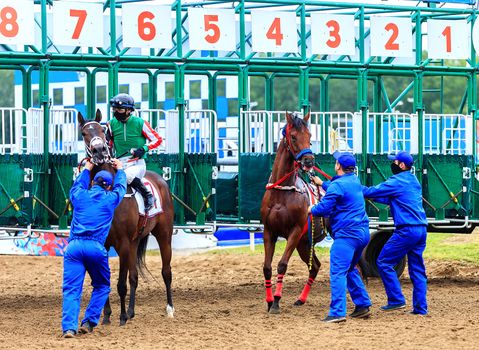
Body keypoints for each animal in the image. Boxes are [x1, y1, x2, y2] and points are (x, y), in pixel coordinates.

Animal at [78, 109, 175, 326]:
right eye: (84, 133)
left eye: (103, 131)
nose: (99, 151)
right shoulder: (105, 243)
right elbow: (103, 280)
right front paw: (106, 316)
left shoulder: (122, 242)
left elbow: (121, 283)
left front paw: (121, 317)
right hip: (135, 241)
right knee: (135, 276)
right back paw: (131, 312)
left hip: (164, 235)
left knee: (166, 272)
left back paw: (169, 309)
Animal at [262, 112, 326, 314]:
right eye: (293, 136)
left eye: (310, 135)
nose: (309, 161)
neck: (282, 191)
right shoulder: (269, 231)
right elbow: (267, 267)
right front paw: (269, 301)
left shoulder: (295, 231)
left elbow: (282, 265)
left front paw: (276, 301)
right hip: (304, 243)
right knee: (315, 267)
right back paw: (301, 299)